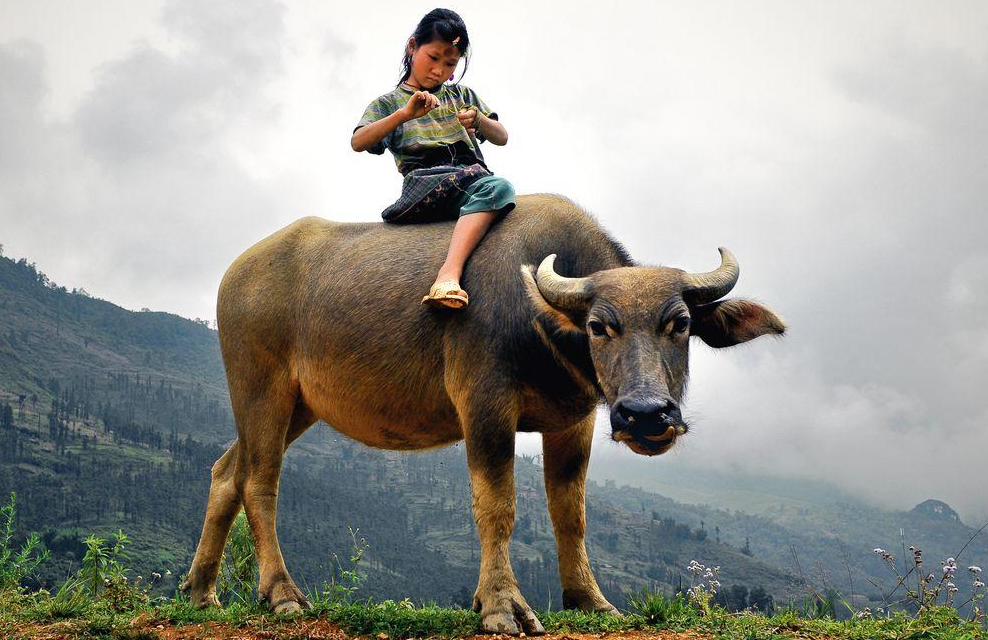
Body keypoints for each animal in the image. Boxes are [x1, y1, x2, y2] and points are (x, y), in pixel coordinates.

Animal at [183, 193, 785, 634]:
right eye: (599, 325)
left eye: (679, 323)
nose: (645, 415)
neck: (544, 327)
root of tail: (236, 274)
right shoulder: (484, 405)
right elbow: (497, 506)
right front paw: (500, 606)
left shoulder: (575, 420)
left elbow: (570, 511)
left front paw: (590, 599)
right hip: (260, 388)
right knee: (260, 481)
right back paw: (282, 594)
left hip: (300, 405)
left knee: (227, 472)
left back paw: (200, 592)